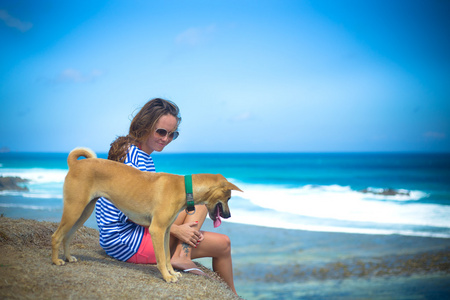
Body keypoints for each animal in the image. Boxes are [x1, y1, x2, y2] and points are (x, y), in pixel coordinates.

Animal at [51, 149, 243, 282]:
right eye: (229, 198)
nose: (228, 215)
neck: (184, 187)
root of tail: (75, 164)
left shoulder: (166, 231)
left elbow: (167, 256)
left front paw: (172, 272)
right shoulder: (157, 229)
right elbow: (160, 258)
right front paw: (167, 277)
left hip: (83, 211)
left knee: (67, 236)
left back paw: (68, 257)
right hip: (74, 209)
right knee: (56, 236)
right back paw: (55, 261)